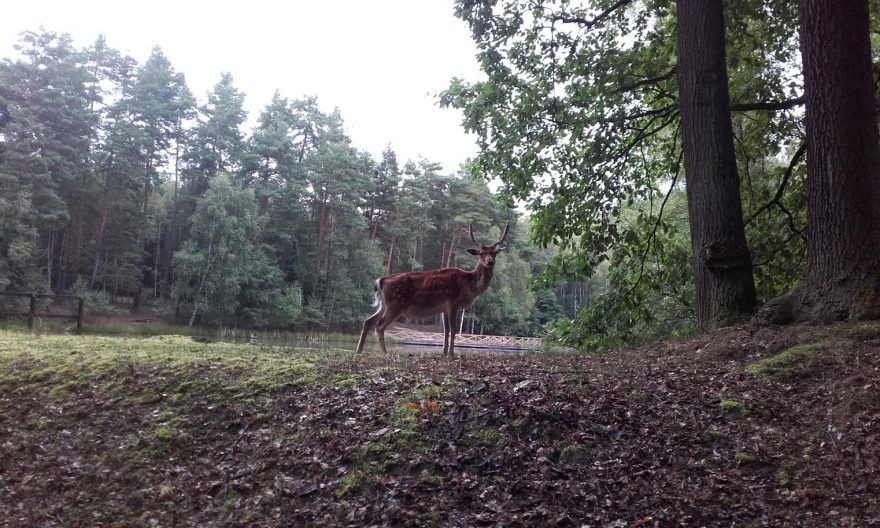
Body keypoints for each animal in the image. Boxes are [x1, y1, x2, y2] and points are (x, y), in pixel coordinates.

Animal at [356, 221, 508, 356]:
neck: (470, 286)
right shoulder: (453, 303)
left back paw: (359, 350)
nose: (490, 262)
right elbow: (453, 329)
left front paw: (444, 352)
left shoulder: (444, 308)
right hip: (396, 303)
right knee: (380, 325)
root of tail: (380, 281)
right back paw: (384, 352)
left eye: (494, 253)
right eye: (481, 253)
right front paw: (451, 353)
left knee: (368, 321)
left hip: (383, 304)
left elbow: (446, 330)